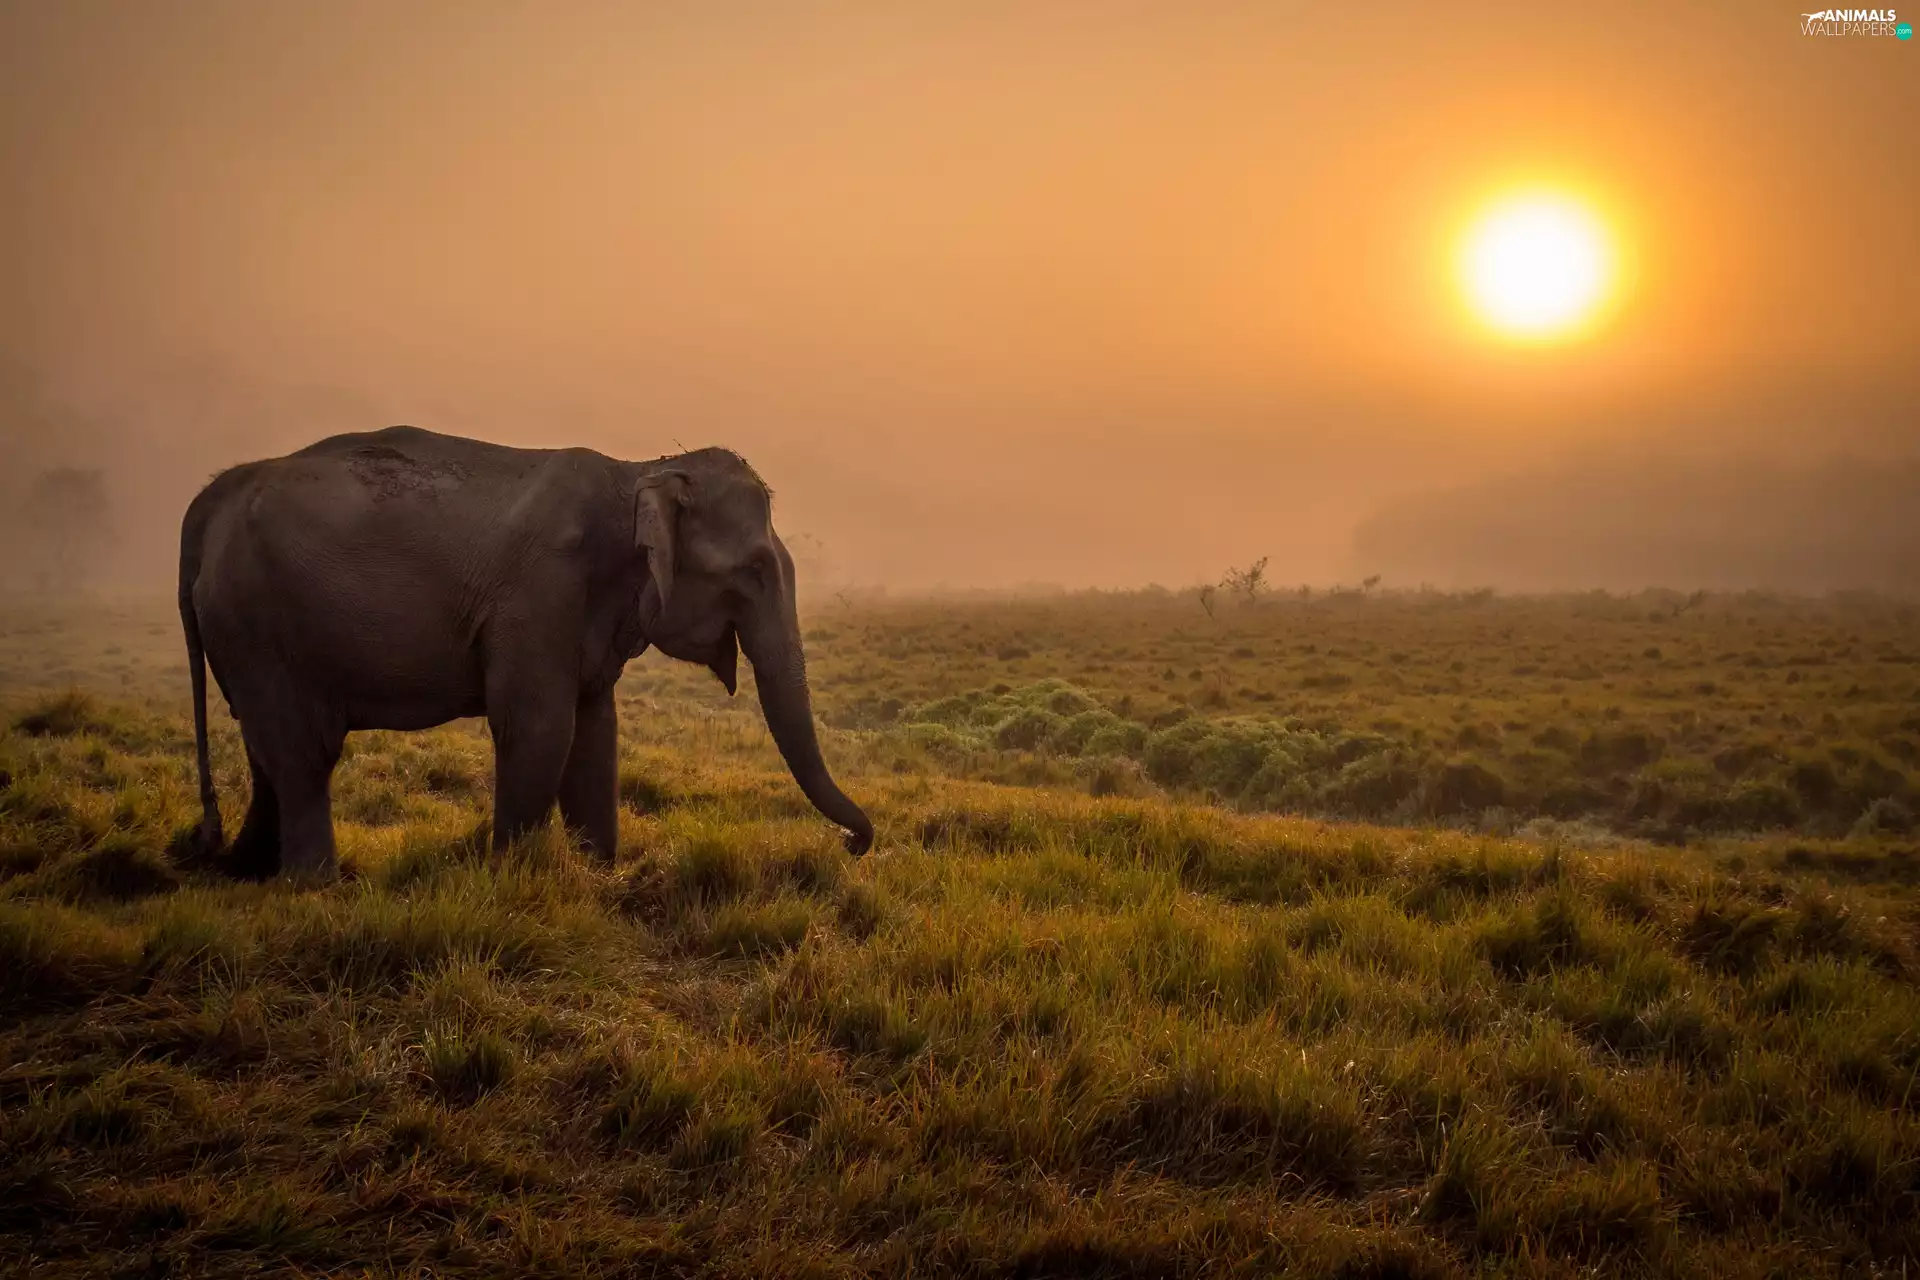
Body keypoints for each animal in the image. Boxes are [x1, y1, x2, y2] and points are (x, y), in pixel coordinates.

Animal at [177, 424, 872, 881]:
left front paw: (601, 878)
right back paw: (315, 887)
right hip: (259, 620)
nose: (851, 844)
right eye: (754, 571)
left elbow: (595, 731)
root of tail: (214, 495)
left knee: (267, 749)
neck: (636, 471)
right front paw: (511, 881)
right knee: (303, 755)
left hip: (245, 631)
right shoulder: (538, 595)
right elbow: (538, 728)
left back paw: (246, 870)